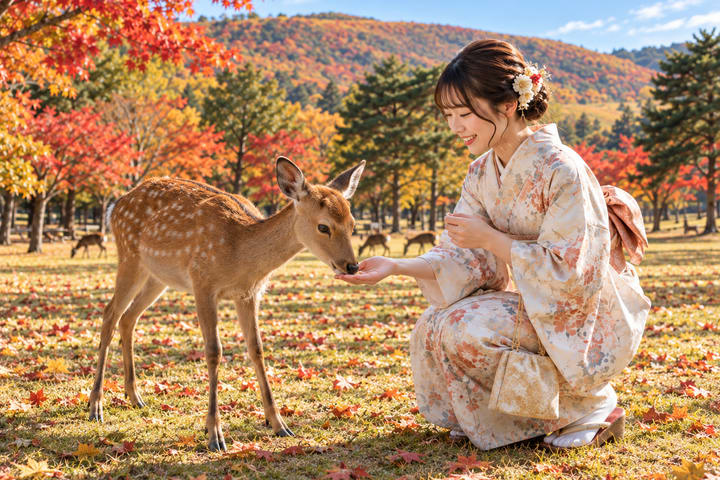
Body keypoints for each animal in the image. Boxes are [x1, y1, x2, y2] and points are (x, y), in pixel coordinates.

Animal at [88, 157, 365, 451]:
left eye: (352, 224)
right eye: (323, 226)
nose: (352, 266)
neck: (241, 254)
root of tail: (115, 206)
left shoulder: (249, 294)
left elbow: (257, 349)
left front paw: (279, 424)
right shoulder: (203, 283)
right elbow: (214, 352)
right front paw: (215, 434)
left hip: (157, 277)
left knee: (129, 317)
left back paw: (135, 396)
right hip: (129, 256)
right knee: (110, 314)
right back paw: (96, 406)